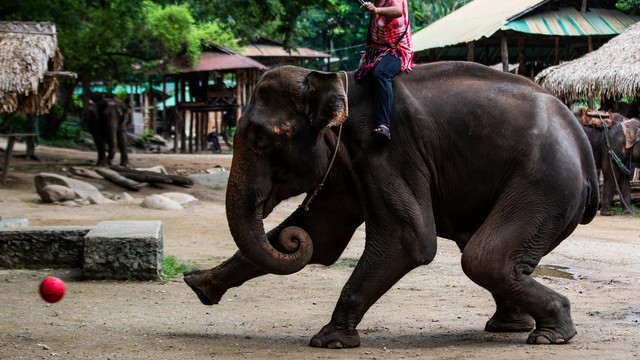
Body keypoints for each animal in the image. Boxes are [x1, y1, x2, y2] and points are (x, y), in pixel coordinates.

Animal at [184, 62, 600, 348]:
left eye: (260, 137)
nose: (290, 240)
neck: (336, 80)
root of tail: (584, 146)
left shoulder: (385, 149)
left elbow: (409, 240)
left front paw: (328, 340)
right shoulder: (347, 167)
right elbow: (322, 236)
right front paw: (198, 285)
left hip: (547, 182)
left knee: (484, 258)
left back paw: (551, 334)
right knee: (486, 253)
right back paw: (513, 327)